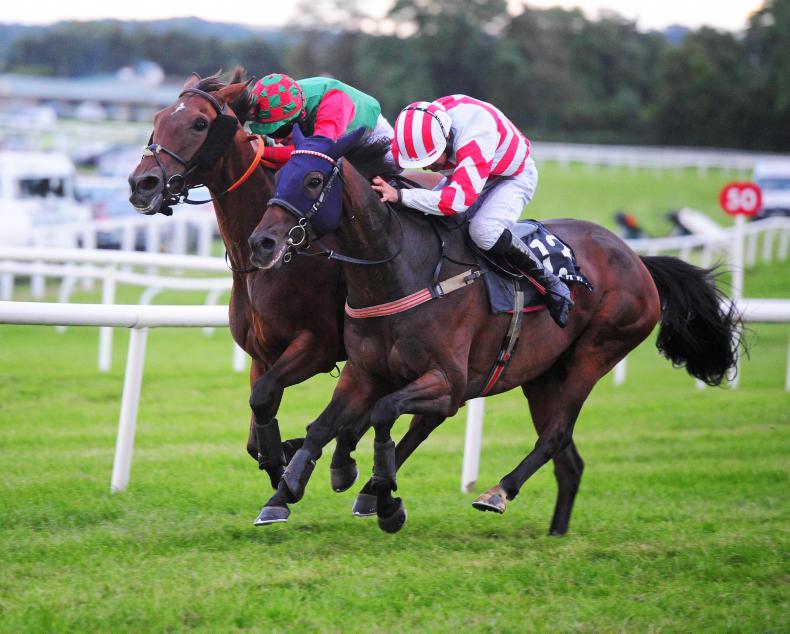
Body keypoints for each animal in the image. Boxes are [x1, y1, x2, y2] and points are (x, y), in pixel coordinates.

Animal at [245, 126, 741, 534]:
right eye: (281, 172)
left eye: (312, 181)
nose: (261, 242)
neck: (401, 270)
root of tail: (638, 260)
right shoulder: (362, 372)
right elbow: (326, 424)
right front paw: (288, 491)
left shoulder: (448, 382)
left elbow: (383, 415)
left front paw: (383, 499)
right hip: (543, 375)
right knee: (569, 458)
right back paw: (555, 531)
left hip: (596, 352)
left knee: (556, 434)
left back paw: (496, 492)